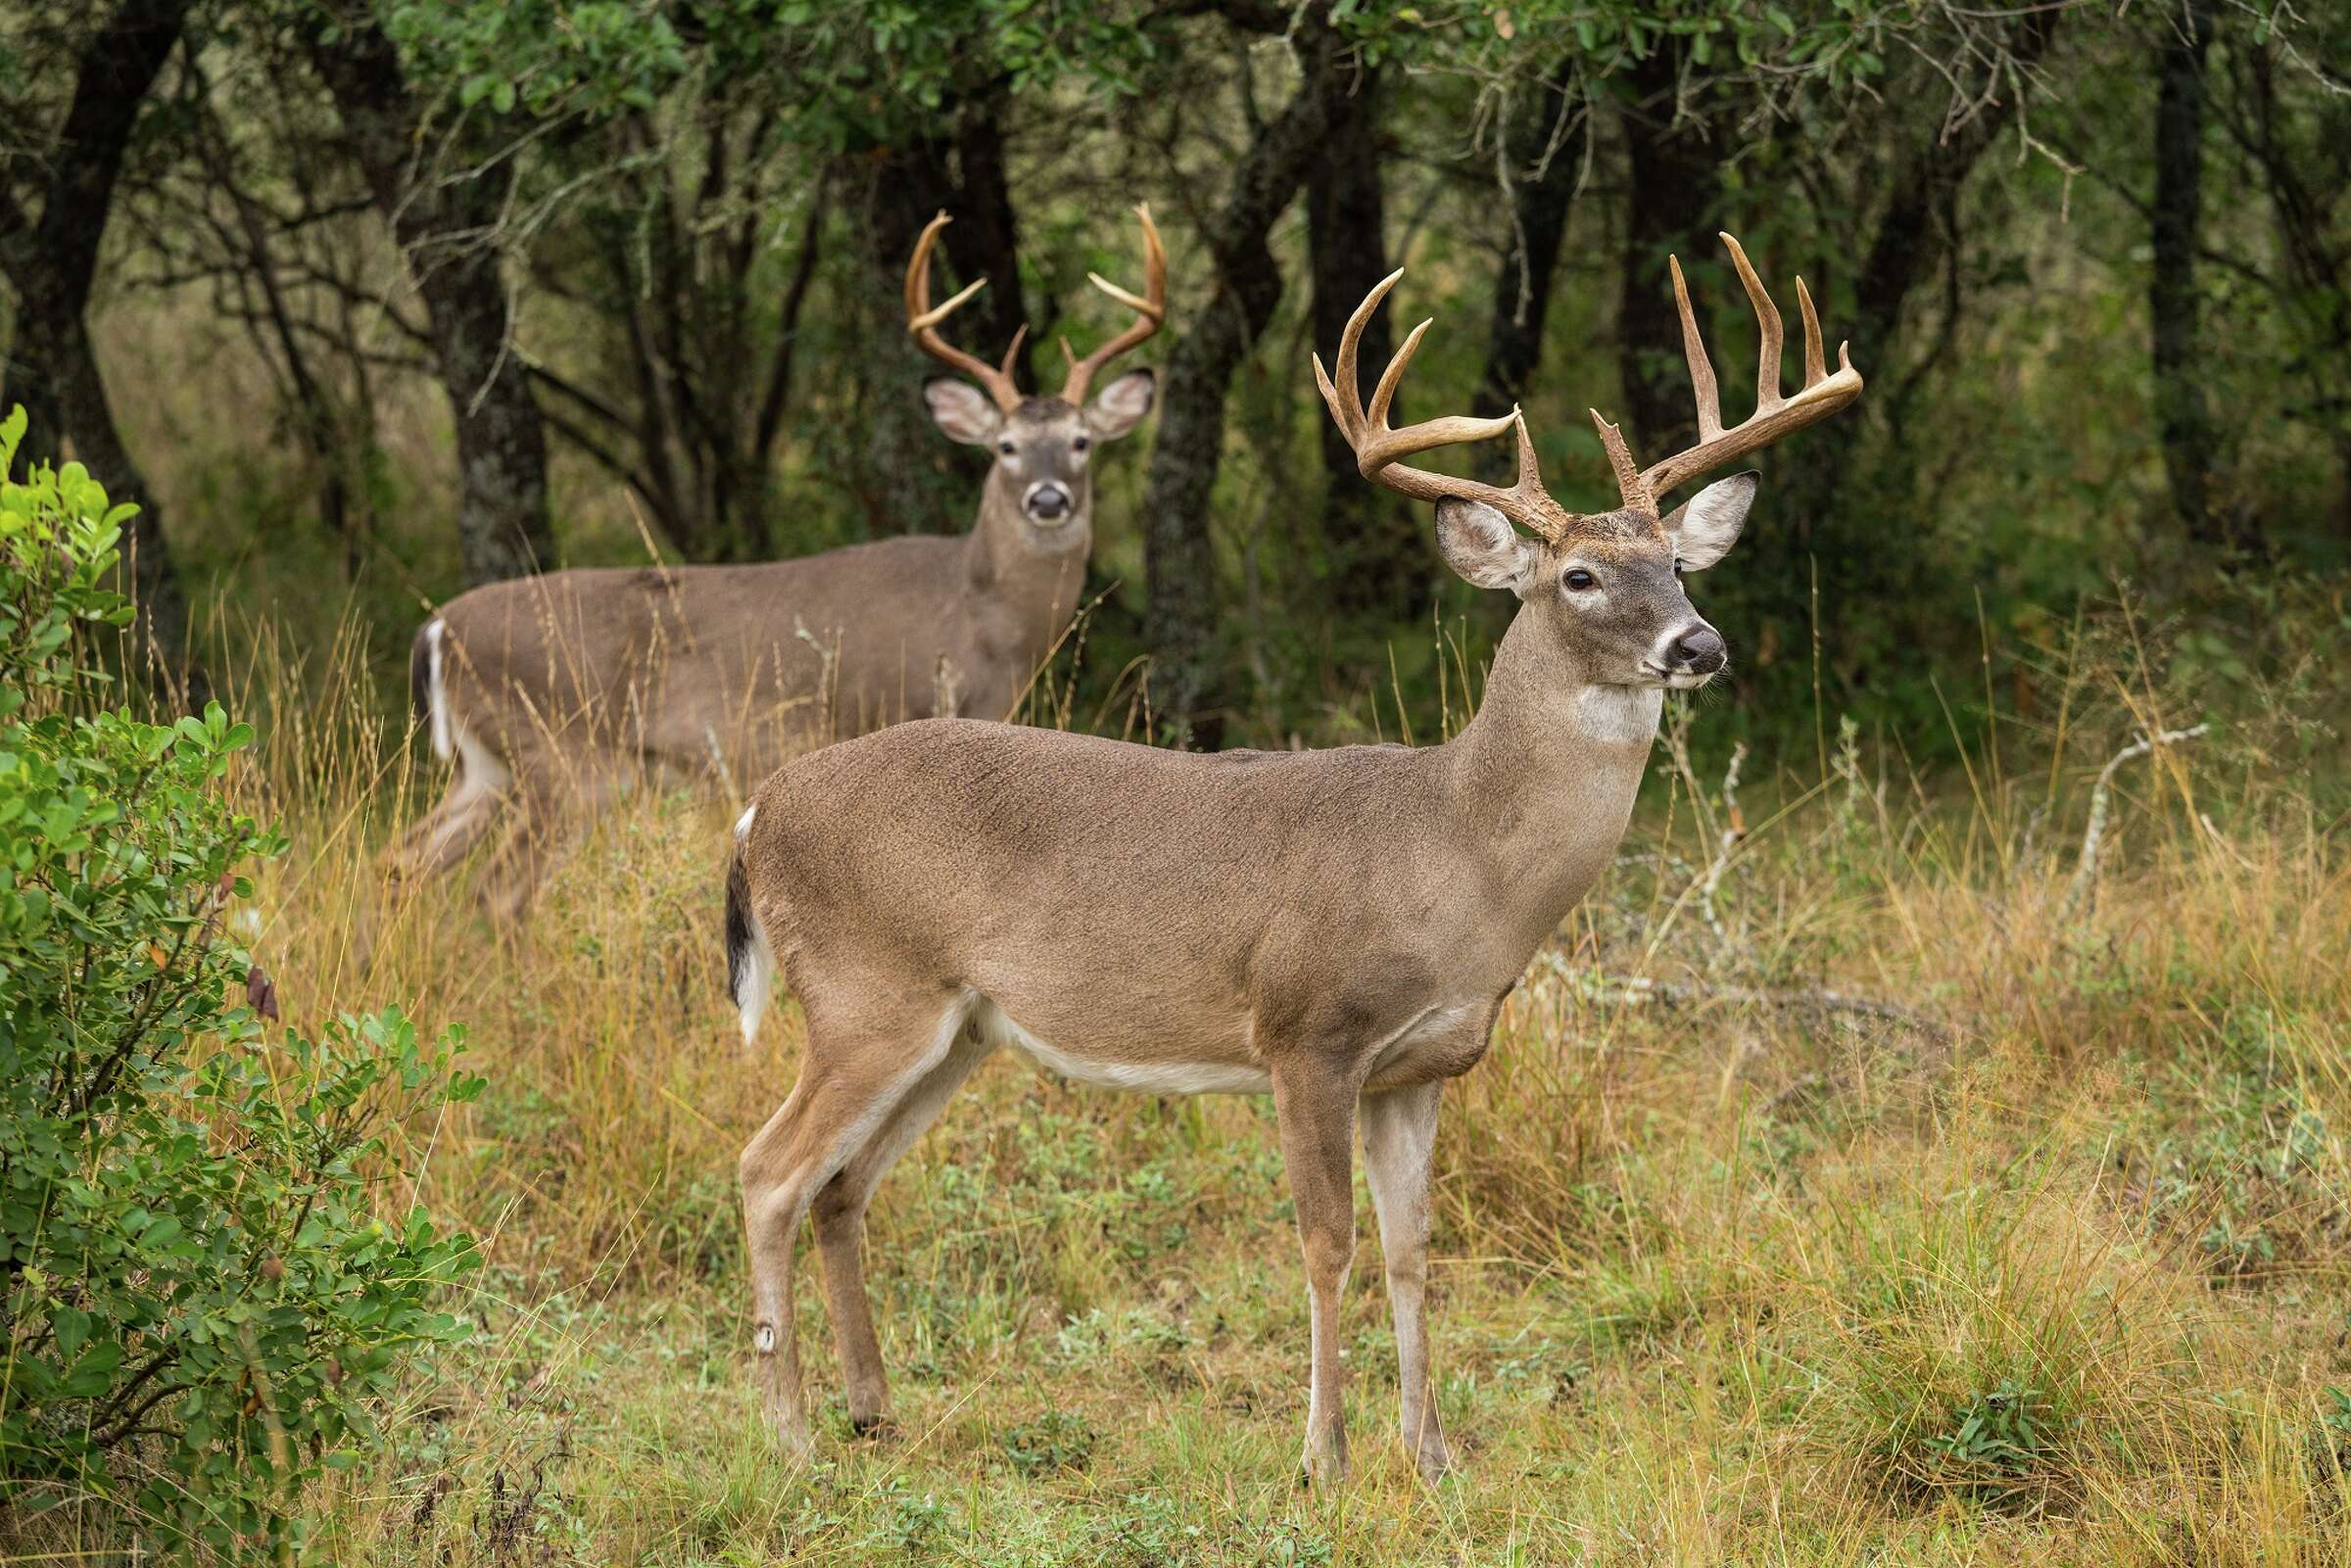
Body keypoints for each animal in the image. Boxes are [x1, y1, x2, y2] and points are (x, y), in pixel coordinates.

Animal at [388, 206, 1166, 919]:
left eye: (1081, 441)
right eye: (1006, 446)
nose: (1048, 498)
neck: (985, 615)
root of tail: (436, 629)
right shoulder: (911, 712)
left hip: (488, 766)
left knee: (402, 860)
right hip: (567, 759)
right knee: (496, 893)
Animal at [722, 233, 1862, 1484]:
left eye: (1677, 562)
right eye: (1580, 576)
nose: (1698, 643)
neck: (1455, 851)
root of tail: (755, 813)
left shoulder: (1420, 1066)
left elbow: (1414, 1246)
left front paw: (1432, 1452)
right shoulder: (1307, 1030)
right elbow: (1328, 1241)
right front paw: (1325, 1455)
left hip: (957, 1026)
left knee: (842, 1184)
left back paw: (871, 1409)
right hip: (863, 990)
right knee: (768, 1170)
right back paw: (788, 1436)